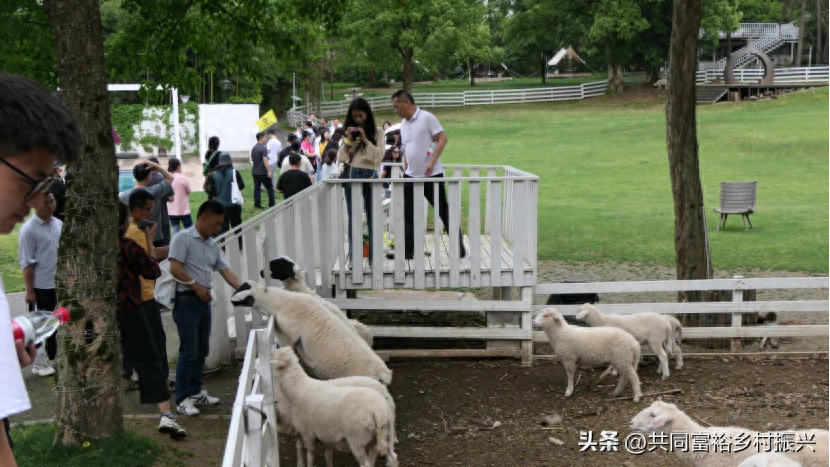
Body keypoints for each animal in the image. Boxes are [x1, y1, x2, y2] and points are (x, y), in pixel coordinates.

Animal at [231, 282, 394, 388]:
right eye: (241, 286)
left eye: (248, 296)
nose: (232, 301)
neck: (282, 302)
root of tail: (383, 372)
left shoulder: (288, 336)